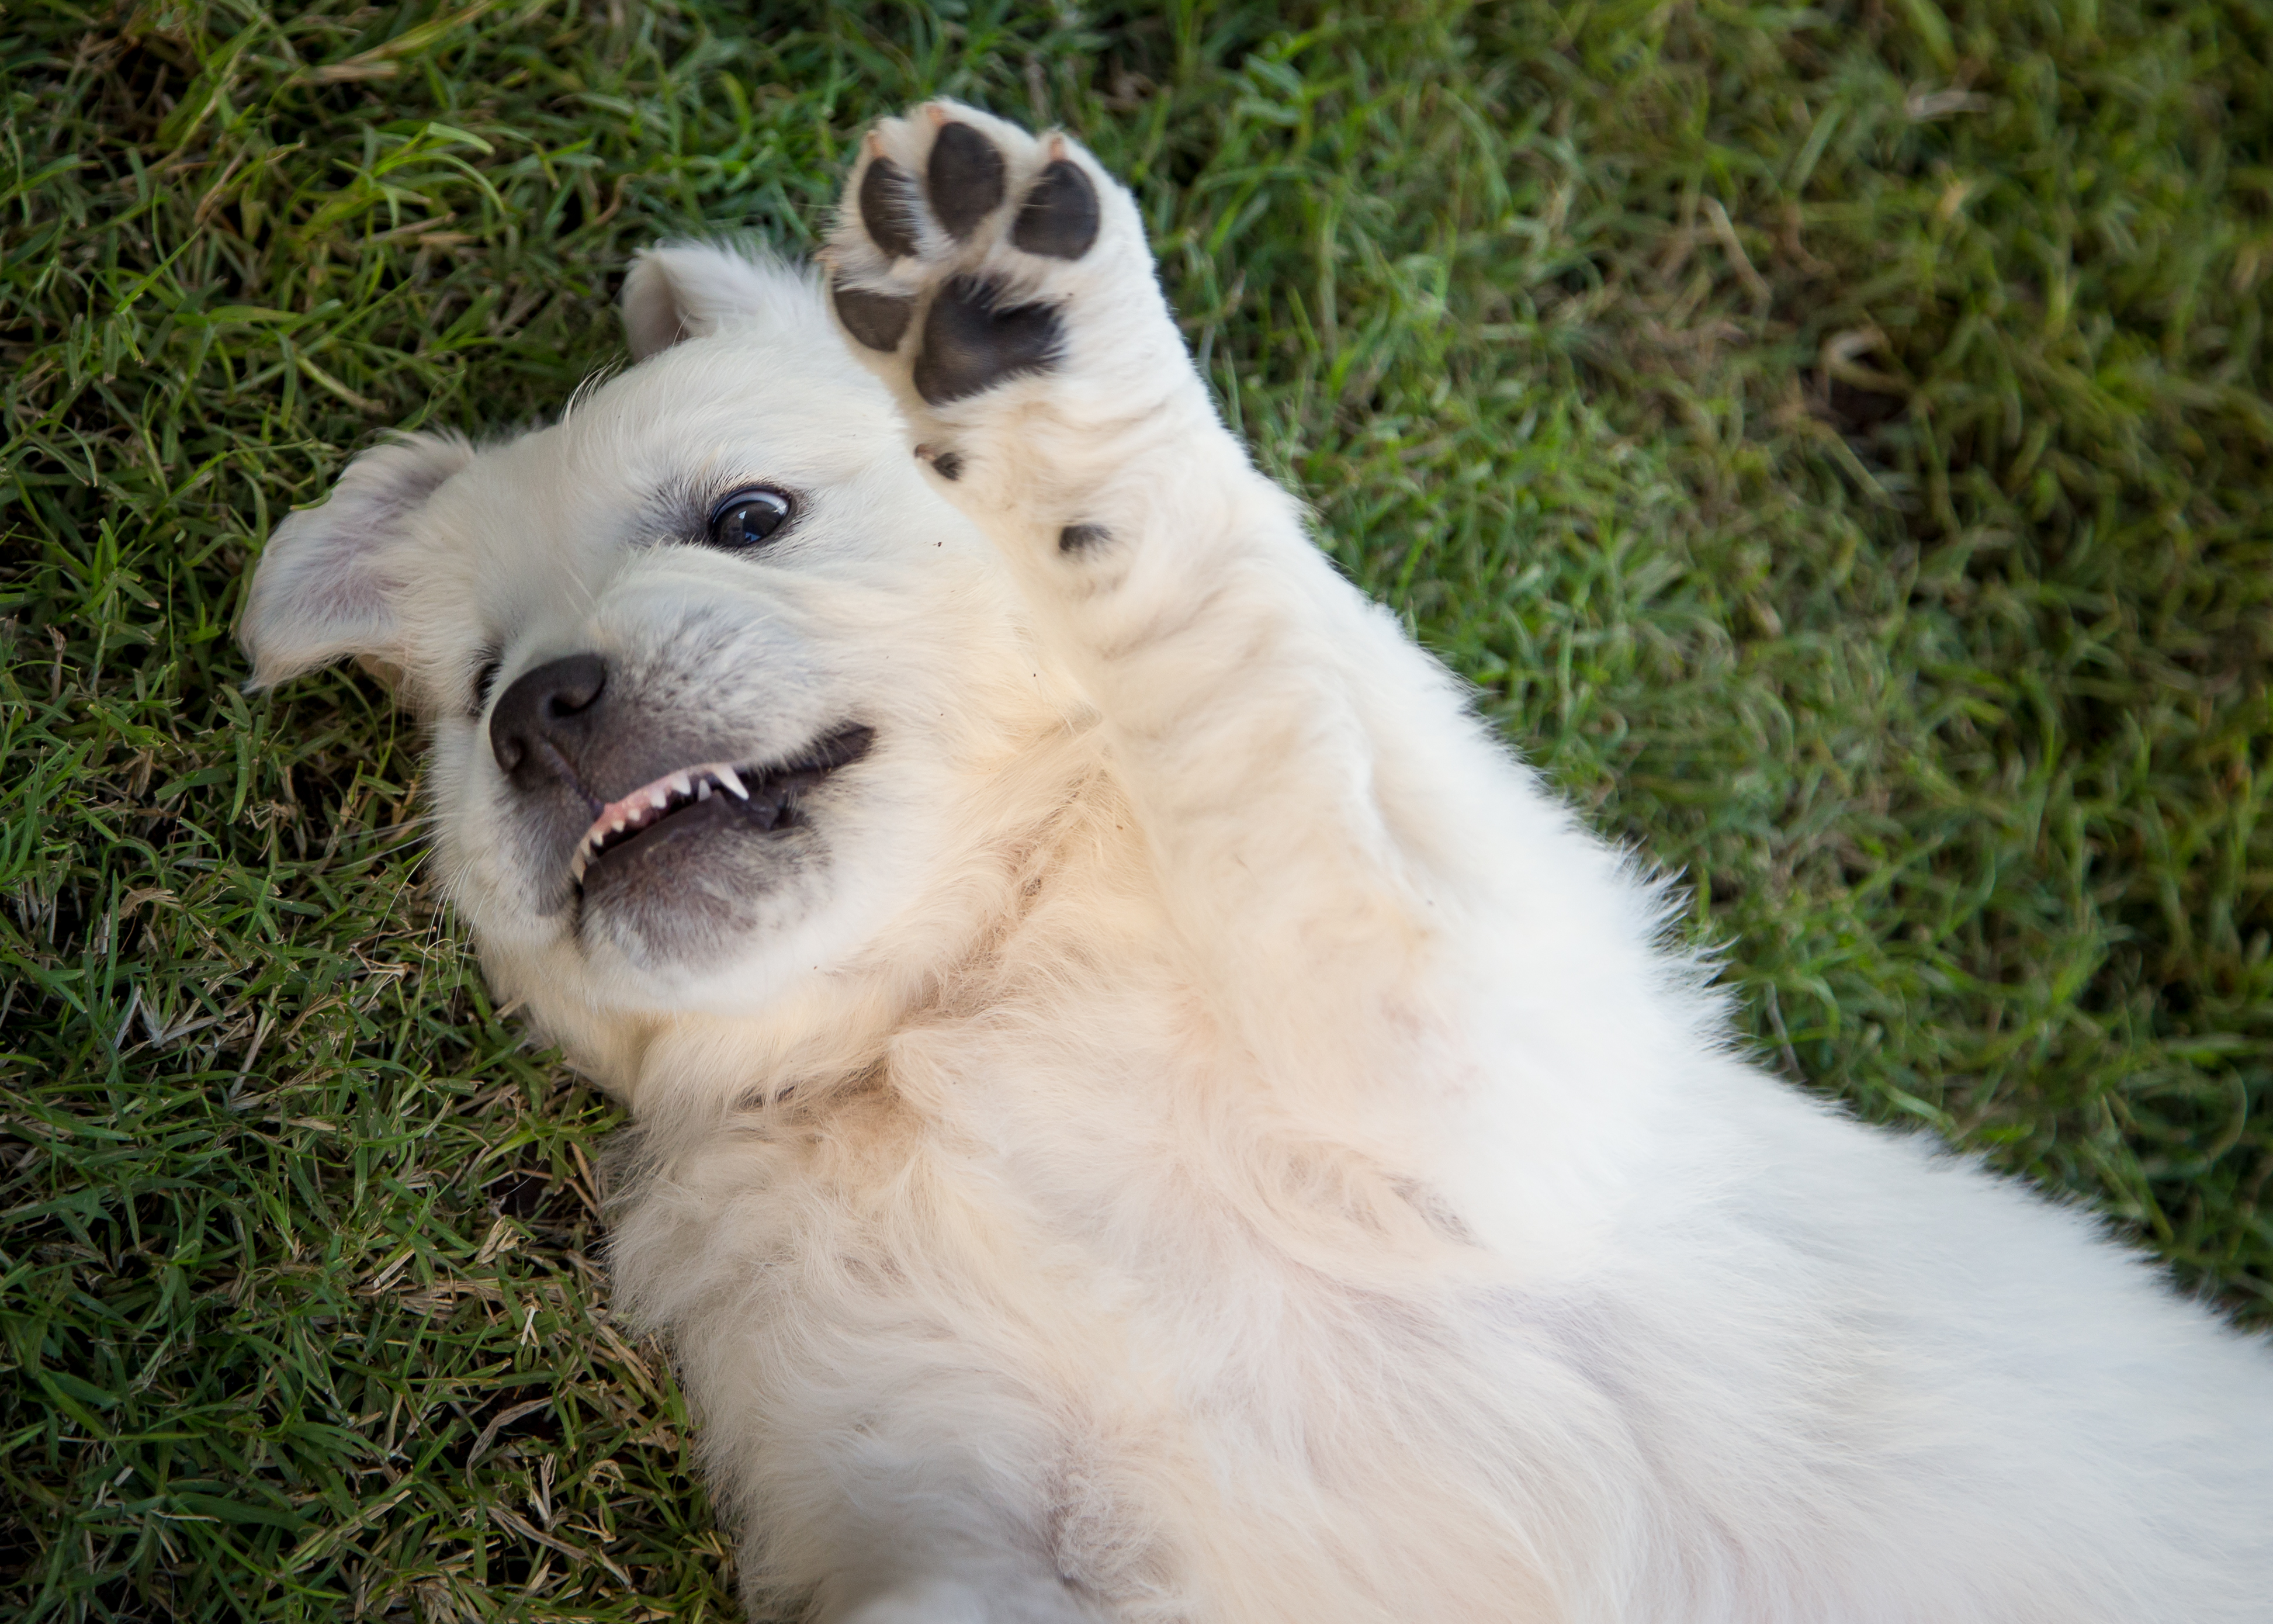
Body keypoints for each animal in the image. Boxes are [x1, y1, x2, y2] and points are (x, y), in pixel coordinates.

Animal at [240, 101, 2273, 1619]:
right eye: (478, 690)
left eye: (746, 517)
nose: (545, 713)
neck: (944, 1007)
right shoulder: (1000, 1518)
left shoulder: (1480, 1067)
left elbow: (1252, 721)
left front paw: (1041, 355)